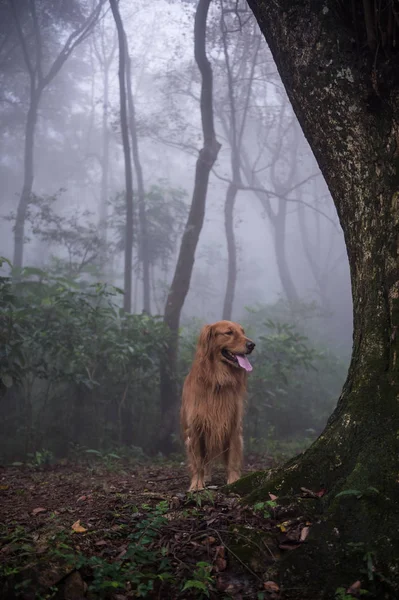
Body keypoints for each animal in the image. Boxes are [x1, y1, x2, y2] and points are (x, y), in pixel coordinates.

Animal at [180, 322, 255, 490]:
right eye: (229, 333)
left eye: (243, 332)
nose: (252, 345)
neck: (217, 380)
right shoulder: (196, 428)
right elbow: (198, 461)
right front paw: (196, 484)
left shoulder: (233, 425)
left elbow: (233, 459)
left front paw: (234, 481)